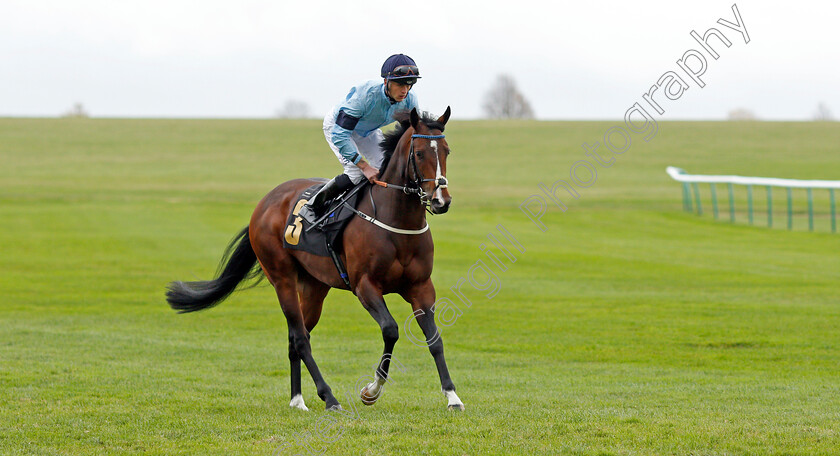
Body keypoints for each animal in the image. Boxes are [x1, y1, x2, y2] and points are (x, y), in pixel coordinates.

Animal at [164, 108, 466, 414]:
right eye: (419, 153)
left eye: (446, 151)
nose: (441, 200)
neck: (395, 221)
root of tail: (264, 203)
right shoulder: (365, 286)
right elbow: (390, 330)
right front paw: (371, 391)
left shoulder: (420, 287)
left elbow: (434, 338)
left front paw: (452, 396)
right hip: (282, 279)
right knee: (300, 338)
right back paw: (329, 397)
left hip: (314, 286)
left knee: (296, 338)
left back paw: (297, 399)